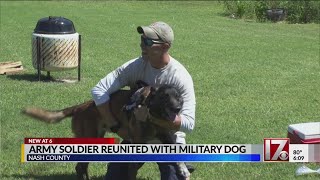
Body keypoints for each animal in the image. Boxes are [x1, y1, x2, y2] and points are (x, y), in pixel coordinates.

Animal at [23, 84, 190, 180]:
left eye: (178, 97)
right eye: (165, 97)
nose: (177, 109)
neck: (152, 115)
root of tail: (81, 106)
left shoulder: (167, 137)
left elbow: (178, 155)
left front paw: (183, 170)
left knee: (82, 167)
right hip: (89, 141)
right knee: (80, 167)